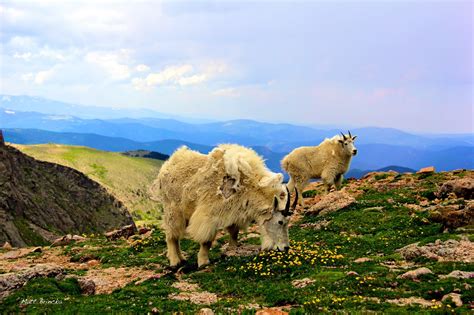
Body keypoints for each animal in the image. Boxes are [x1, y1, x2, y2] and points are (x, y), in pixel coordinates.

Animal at [152, 144, 298, 268]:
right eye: (280, 222)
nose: (285, 248)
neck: (245, 186)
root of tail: (167, 166)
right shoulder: (209, 215)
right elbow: (207, 240)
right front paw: (203, 262)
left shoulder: (234, 212)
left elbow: (234, 231)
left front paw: (233, 248)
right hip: (172, 209)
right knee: (171, 236)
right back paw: (175, 261)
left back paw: (181, 258)